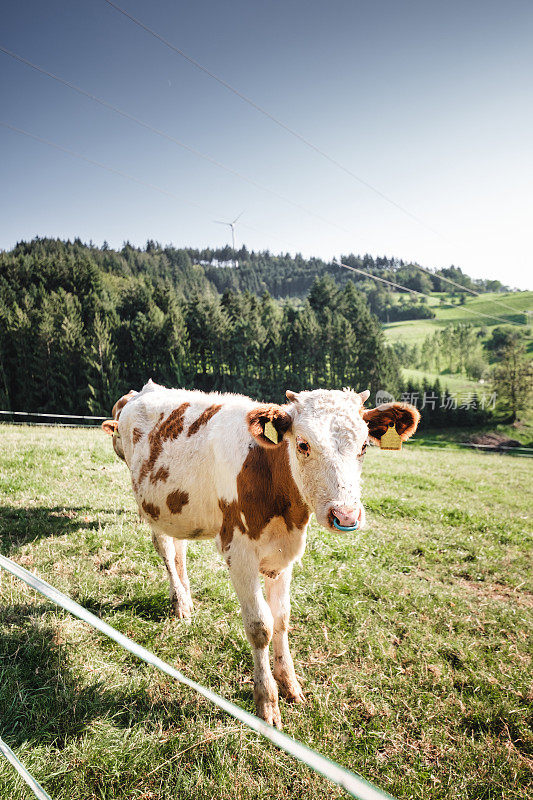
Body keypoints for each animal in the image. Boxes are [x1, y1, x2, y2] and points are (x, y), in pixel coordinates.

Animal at [103, 384, 420, 728]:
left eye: (363, 446)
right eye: (303, 444)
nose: (346, 516)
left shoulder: (284, 554)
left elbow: (281, 618)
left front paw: (290, 684)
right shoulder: (239, 553)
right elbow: (260, 627)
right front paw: (267, 702)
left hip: (178, 509)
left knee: (180, 551)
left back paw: (186, 597)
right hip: (152, 507)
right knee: (164, 548)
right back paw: (180, 604)